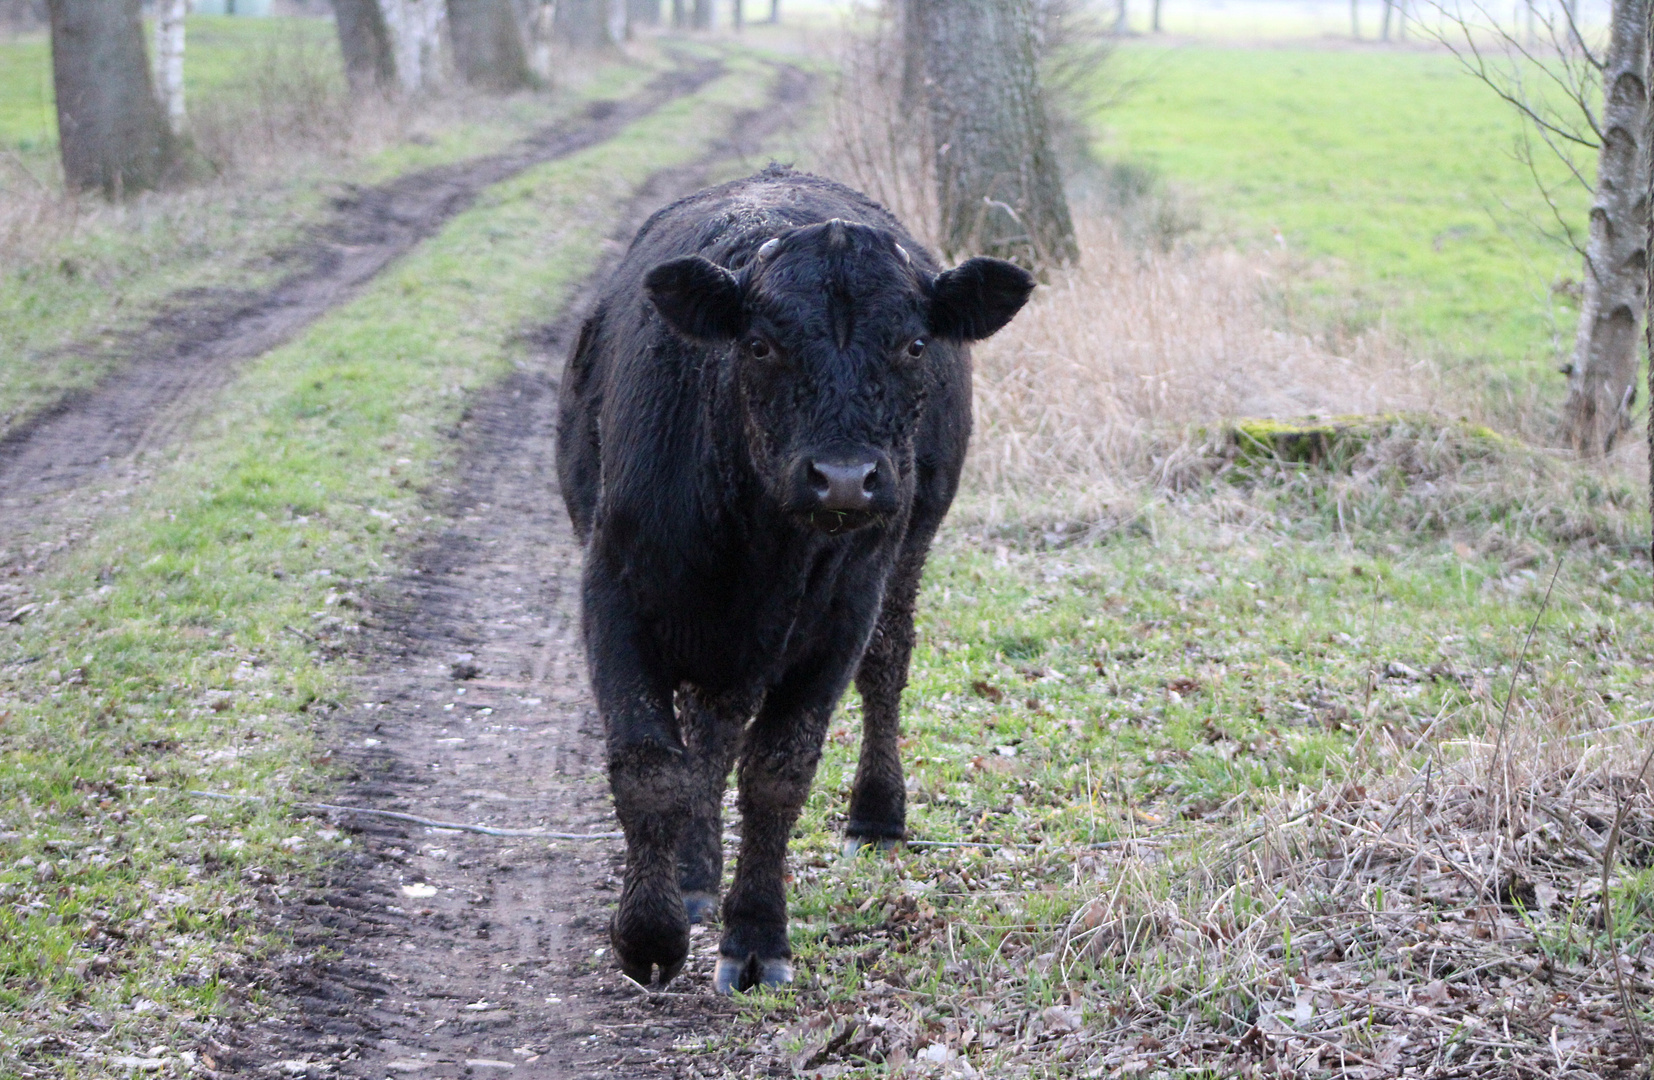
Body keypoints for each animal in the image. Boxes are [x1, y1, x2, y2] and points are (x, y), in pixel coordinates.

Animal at [555, 162, 1032, 992]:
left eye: (913, 344)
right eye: (760, 344)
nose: (843, 479)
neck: (759, 550)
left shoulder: (841, 615)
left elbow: (780, 770)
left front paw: (755, 935)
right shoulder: (612, 589)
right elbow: (649, 765)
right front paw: (649, 932)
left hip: (908, 549)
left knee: (886, 666)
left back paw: (876, 814)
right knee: (709, 729)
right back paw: (692, 874)